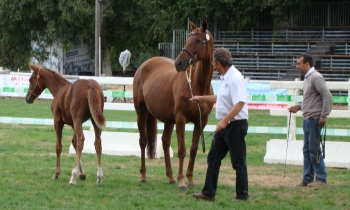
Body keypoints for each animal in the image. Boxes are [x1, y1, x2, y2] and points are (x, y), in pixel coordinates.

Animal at [133, 19, 213, 190]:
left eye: (198, 41)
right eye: (187, 39)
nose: (179, 63)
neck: (198, 85)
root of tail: (144, 65)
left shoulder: (200, 122)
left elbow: (193, 150)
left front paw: (190, 180)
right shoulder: (181, 119)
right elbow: (182, 150)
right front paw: (182, 182)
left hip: (169, 119)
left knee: (165, 141)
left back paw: (170, 177)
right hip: (142, 113)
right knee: (143, 141)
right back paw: (143, 176)